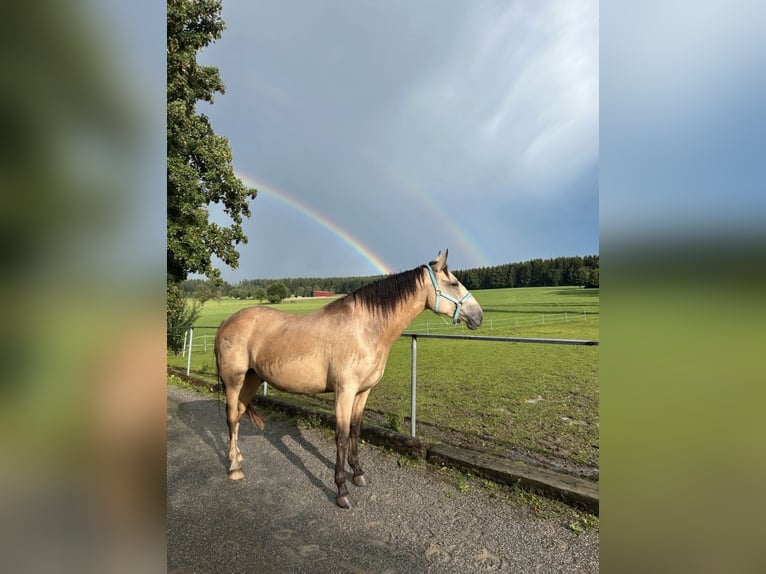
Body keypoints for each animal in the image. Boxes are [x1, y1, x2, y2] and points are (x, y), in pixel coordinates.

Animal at [214, 249, 483, 508]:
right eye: (454, 283)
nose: (478, 316)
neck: (365, 329)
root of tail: (226, 321)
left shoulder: (363, 392)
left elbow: (355, 429)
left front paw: (359, 473)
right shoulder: (344, 391)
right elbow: (342, 436)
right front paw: (342, 491)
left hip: (252, 379)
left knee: (239, 414)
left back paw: (237, 455)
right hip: (234, 381)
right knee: (230, 417)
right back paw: (234, 468)